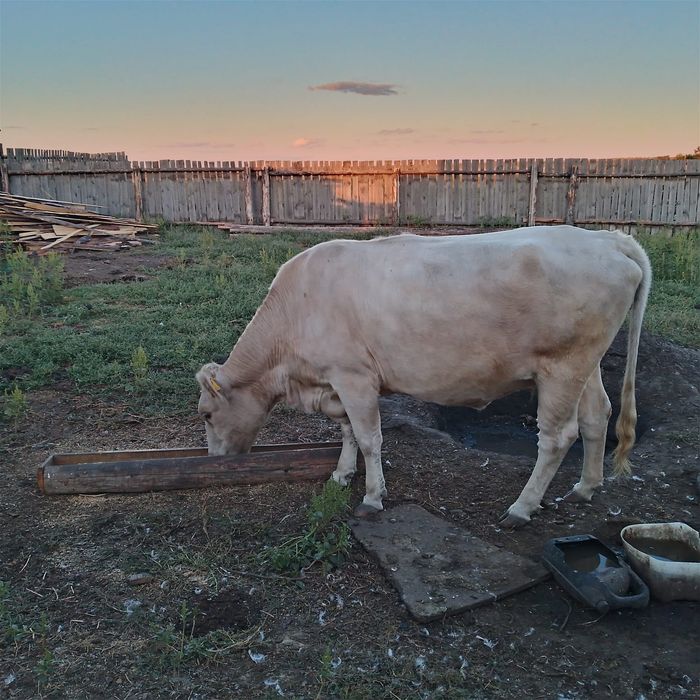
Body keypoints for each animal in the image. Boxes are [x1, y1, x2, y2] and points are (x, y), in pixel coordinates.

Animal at [196, 226, 651, 528]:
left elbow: (369, 437)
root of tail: (609, 238)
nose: (215, 461)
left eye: (206, 415)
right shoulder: (335, 382)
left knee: (558, 436)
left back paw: (521, 508)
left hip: (561, 367)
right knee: (597, 415)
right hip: (585, 364)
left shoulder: (353, 376)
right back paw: (585, 487)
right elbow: (346, 430)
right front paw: (342, 474)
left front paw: (373, 496)